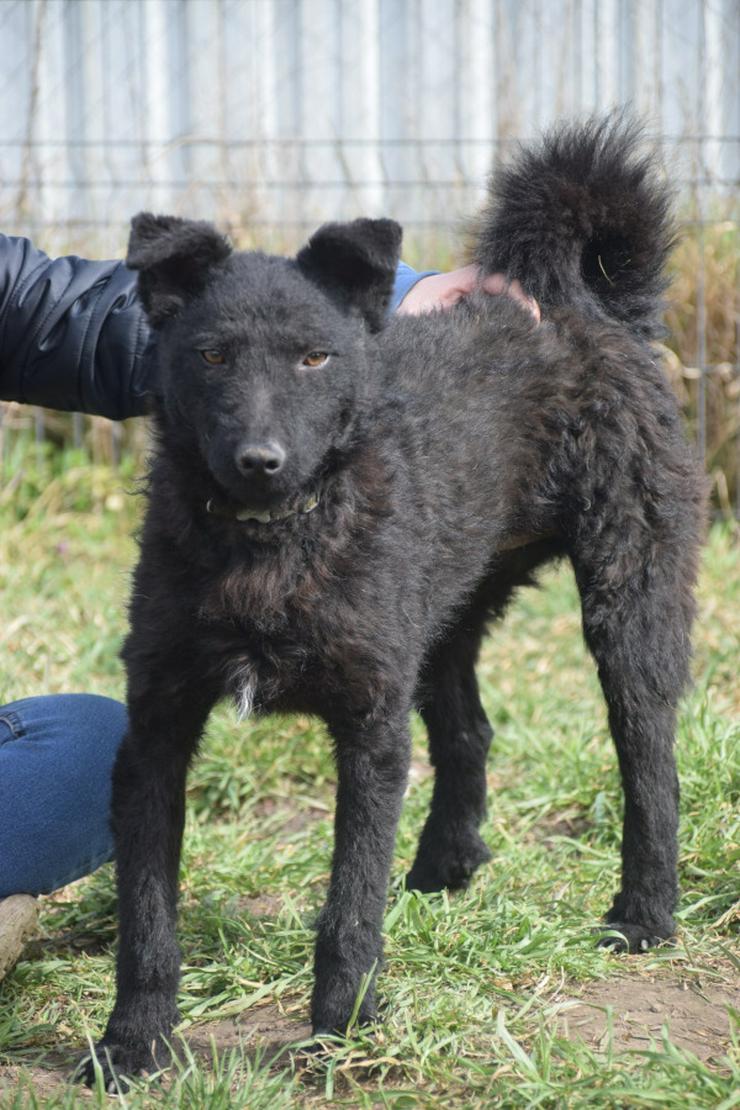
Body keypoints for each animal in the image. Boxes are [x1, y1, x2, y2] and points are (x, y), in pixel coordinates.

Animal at [79, 119, 705, 1083]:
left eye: (315, 357)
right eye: (211, 355)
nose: (260, 459)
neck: (272, 541)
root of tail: (597, 309)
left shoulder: (371, 730)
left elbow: (349, 904)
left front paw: (342, 1028)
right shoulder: (156, 729)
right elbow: (146, 916)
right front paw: (133, 1041)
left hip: (628, 601)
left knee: (649, 759)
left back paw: (643, 914)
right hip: (444, 612)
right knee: (470, 730)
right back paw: (445, 868)